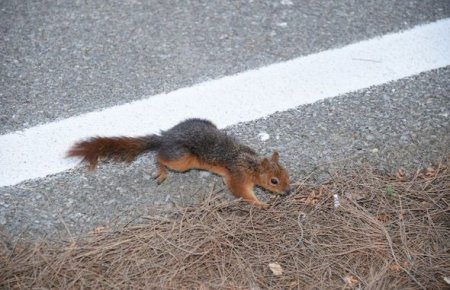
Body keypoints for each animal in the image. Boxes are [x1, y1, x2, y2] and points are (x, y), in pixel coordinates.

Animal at [67, 118, 292, 208]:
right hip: (182, 160)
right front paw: (262, 204)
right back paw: (161, 171)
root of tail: (165, 138)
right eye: (273, 181)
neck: (250, 163)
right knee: (158, 157)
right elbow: (242, 193)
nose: (289, 191)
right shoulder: (238, 176)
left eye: (287, 175)